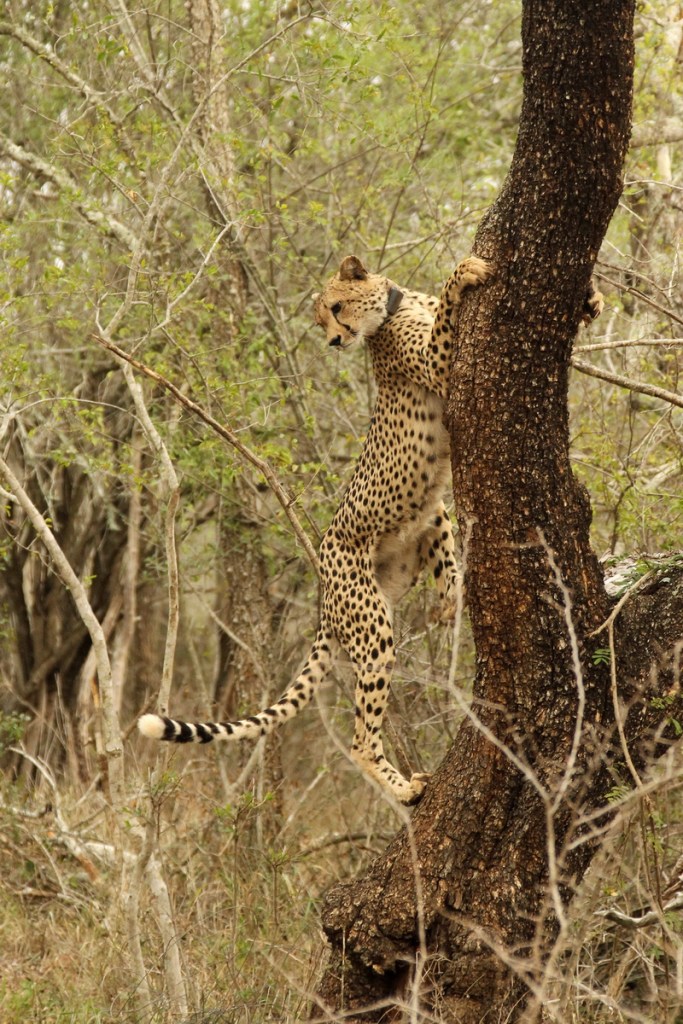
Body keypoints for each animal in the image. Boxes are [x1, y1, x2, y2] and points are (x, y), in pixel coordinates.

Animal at [138, 255, 603, 805]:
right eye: (322, 319)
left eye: (335, 308)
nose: (335, 342)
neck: (398, 304)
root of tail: (323, 581)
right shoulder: (438, 364)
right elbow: (448, 311)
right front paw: (465, 269)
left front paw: (592, 298)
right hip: (373, 624)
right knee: (361, 739)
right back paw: (403, 788)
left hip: (431, 518)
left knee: (442, 560)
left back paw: (453, 595)